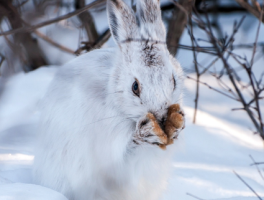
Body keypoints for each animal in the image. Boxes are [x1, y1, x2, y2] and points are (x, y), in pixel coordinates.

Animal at [34, 0, 185, 199]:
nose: (161, 116)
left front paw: (176, 126)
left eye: (173, 81)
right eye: (135, 87)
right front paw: (146, 133)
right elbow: (124, 155)